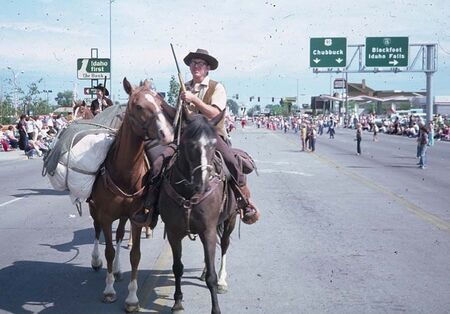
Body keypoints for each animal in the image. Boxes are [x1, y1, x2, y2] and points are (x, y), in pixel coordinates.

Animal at [88, 78, 174, 312]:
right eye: (138, 106)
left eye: (161, 103)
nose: (167, 133)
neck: (124, 172)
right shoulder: (106, 216)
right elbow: (108, 250)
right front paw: (109, 291)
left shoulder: (135, 217)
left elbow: (135, 255)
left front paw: (132, 298)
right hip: (94, 210)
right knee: (97, 232)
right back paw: (96, 261)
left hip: (124, 216)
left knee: (119, 235)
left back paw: (117, 270)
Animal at [159, 110, 239, 314]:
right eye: (189, 143)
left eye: (213, 144)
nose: (202, 183)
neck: (189, 192)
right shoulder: (173, 232)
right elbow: (177, 267)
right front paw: (177, 302)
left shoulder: (208, 230)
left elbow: (212, 274)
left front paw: (215, 308)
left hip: (230, 221)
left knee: (224, 245)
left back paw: (222, 281)